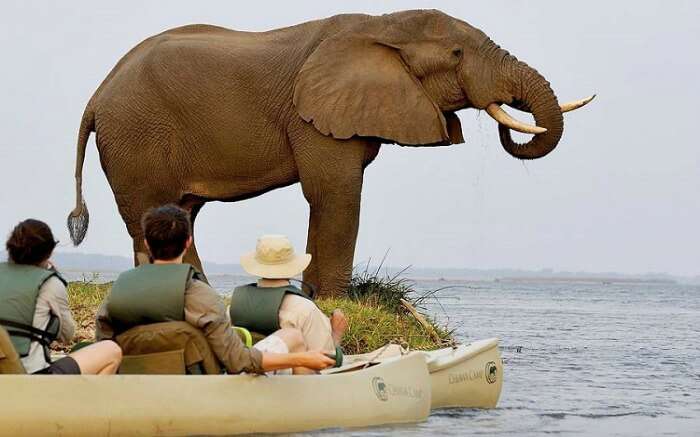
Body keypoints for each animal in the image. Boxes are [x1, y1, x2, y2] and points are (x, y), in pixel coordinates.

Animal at [67, 9, 592, 296]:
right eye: (458, 55)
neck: (382, 23)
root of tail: (96, 94)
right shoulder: (311, 117)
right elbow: (335, 193)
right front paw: (339, 301)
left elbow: (331, 196)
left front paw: (315, 297)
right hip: (136, 137)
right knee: (153, 214)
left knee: (181, 215)